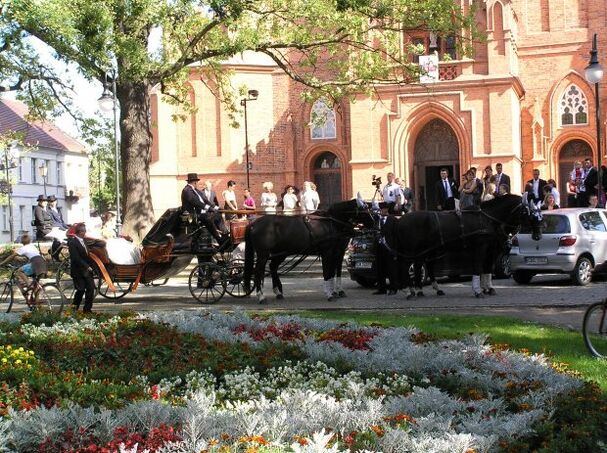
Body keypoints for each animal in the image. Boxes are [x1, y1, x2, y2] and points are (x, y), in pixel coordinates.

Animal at [382, 193, 544, 296]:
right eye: (528, 211)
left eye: (538, 211)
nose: (538, 235)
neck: (489, 219)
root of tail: (400, 220)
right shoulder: (481, 248)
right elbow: (478, 267)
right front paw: (478, 290)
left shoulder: (491, 250)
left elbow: (487, 268)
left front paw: (488, 288)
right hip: (412, 250)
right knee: (406, 266)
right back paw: (409, 290)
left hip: (424, 250)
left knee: (420, 266)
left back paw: (426, 290)